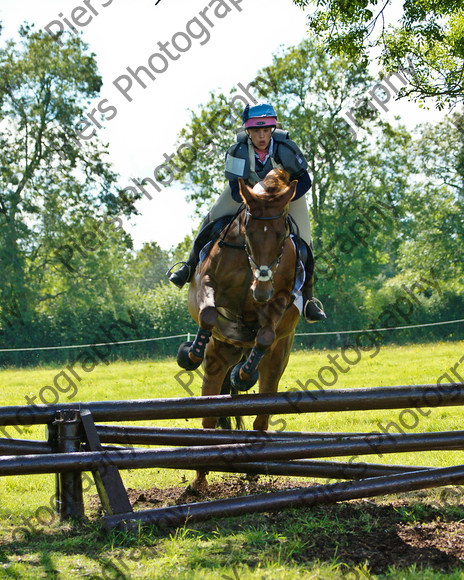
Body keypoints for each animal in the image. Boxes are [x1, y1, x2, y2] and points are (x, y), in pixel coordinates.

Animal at [177, 168, 300, 490]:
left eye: (281, 235)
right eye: (248, 231)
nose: (261, 292)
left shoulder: (281, 298)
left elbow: (266, 334)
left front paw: (243, 375)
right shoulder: (207, 280)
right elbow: (208, 313)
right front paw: (189, 354)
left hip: (276, 362)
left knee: (262, 417)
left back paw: (253, 472)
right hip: (218, 355)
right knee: (208, 420)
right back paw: (199, 480)